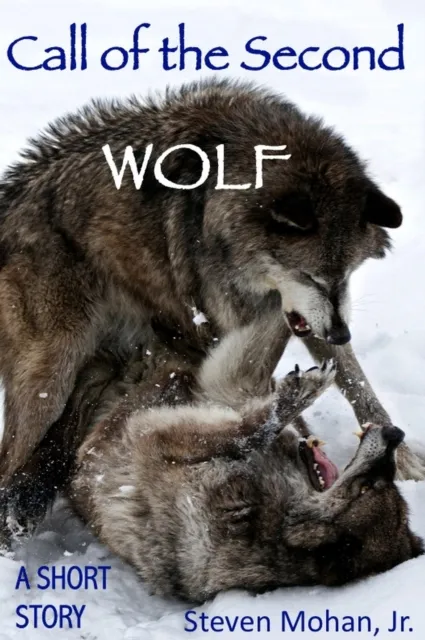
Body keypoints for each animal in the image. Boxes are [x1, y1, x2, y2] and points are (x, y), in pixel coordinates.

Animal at [0, 78, 422, 536]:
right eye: (310, 276)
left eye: (347, 273)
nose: (342, 333)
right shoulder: (237, 323)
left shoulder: (307, 318)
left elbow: (356, 383)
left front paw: (404, 459)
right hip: (51, 379)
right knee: (11, 463)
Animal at [65, 320, 423, 602]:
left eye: (370, 487)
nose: (395, 434)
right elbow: (255, 422)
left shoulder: (153, 436)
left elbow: (247, 430)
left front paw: (295, 395)